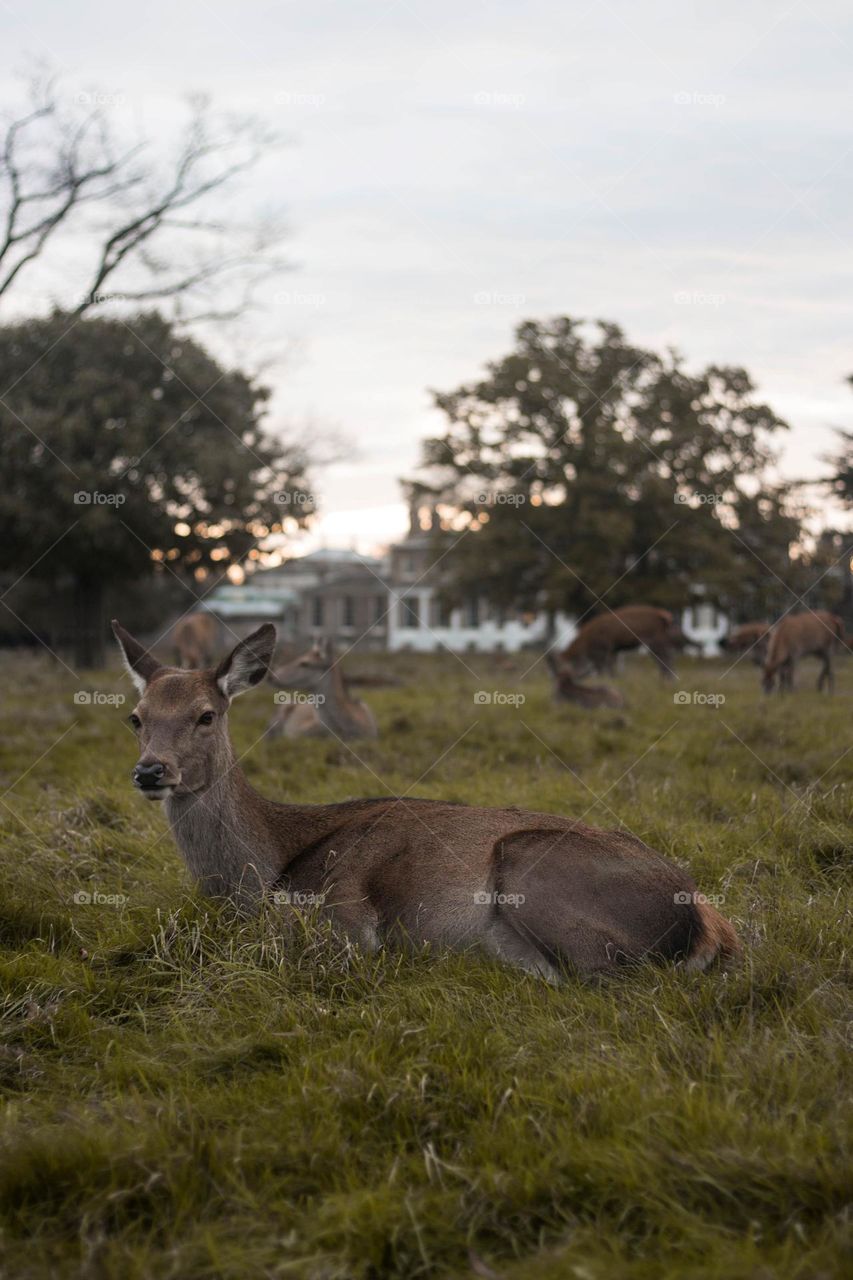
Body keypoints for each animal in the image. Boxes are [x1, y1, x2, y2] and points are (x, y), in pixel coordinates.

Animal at [112, 620, 740, 980]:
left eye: (206, 715)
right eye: (135, 717)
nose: (150, 770)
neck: (264, 870)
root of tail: (708, 923)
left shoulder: (344, 917)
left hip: (532, 865)